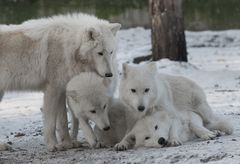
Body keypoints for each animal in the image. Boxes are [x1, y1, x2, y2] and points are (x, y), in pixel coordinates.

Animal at [0, 13, 120, 152]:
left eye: (111, 52)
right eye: (100, 53)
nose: (109, 74)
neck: (68, 46)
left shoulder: (62, 90)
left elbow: (63, 121)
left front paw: (67, 143)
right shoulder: (52, 90)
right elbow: (51, 122)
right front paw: (52, 145)